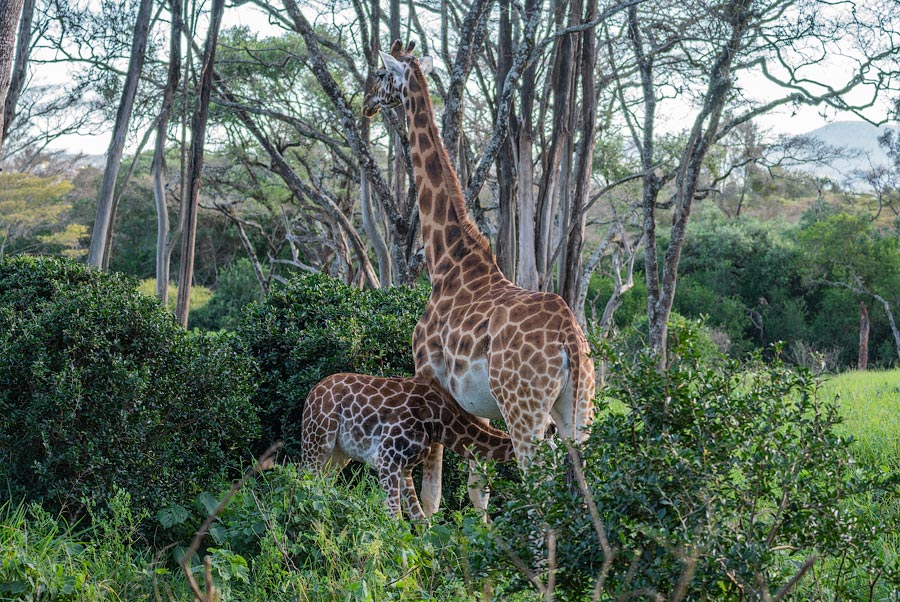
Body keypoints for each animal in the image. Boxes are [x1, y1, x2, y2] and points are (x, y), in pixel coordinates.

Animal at [302, 372, 515, 520]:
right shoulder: (386, 459)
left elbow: (419, 520)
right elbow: (395, 517)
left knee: (323, 484)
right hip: (318, 438)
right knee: (304, 480)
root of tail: (313, 391)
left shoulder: (404, 467)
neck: (440, 422)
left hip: (339, 454)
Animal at [362, 40, 596, 515]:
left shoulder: (428, 378)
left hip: (526, 411)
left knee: (540, 489)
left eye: (380, 73)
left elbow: (432, 494)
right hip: (578, 411)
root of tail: (569, 338)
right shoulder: (477, 403)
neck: (447, 262)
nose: (365, 103)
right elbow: (477, 490)